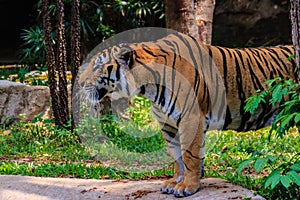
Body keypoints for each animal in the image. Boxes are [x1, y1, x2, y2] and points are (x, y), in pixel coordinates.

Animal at [77, 31, 296, 197]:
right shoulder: (168, 122)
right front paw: (175, 181)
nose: (79, 82)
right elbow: (176, 155)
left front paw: (188, 186)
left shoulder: (192, 117)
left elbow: (189, 154)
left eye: (97, 66)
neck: (149, 86)